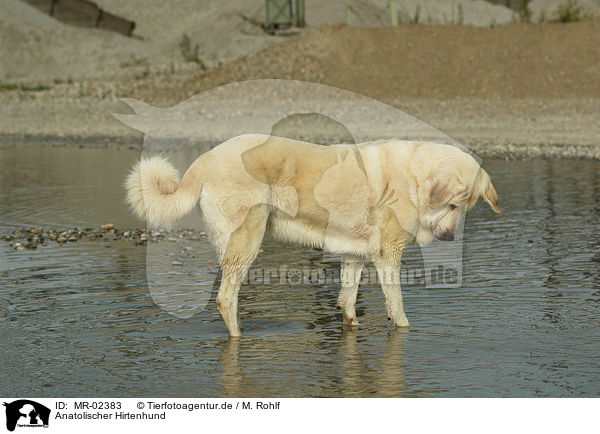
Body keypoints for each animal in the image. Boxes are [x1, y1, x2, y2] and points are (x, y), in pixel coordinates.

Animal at [126, 134, 502, 338]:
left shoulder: (355, 253)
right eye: (452, 204)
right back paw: (238, 337)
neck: (415, 178)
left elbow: (347, 300)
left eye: (465, 208)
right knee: (225, 298)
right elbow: (398, 308)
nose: (449, 237)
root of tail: (204, 159)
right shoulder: (388, 255)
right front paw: (404, 328)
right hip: (247, 240)